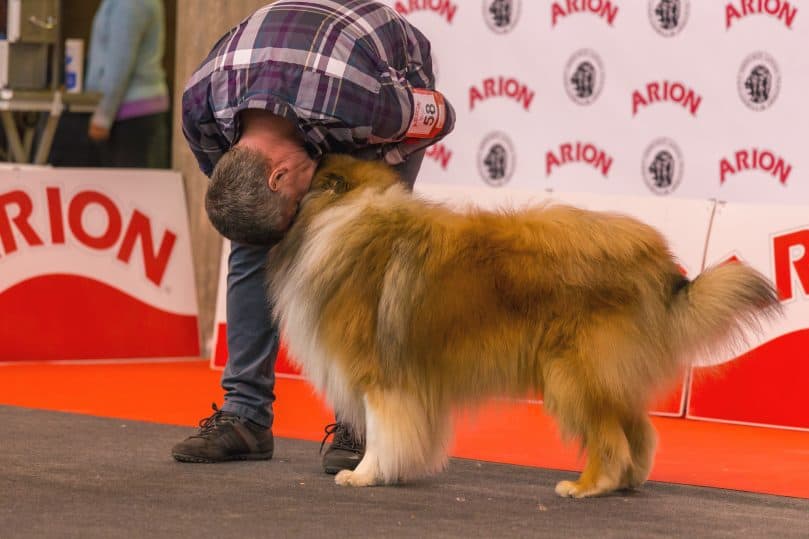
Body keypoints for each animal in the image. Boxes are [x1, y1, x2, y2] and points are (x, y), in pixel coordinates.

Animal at [268, 154, 780, 500]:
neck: (341, 217)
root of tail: (658, 263)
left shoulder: (380, 376)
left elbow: (379, 432)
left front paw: (364, 475)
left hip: (573, 374)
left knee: (611, 440)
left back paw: (587, 487)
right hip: (607, 374)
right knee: (639, 433)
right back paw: (627, 483)